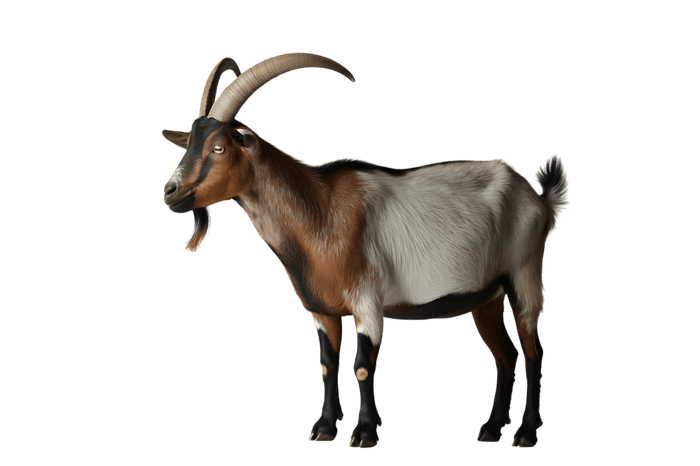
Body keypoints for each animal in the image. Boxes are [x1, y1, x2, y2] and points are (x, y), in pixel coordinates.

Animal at [160, 53, 570, 449]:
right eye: (189, 145)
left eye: (219, 147)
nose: (170, 193)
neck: (320, 212)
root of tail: (538, 201)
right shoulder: (322, 310)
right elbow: (327, 364)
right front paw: (324, 427)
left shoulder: (367, 303)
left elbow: (361, 366)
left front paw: (365, 433)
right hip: (486, 298)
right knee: (505, 355)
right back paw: (491, 428)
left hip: (524, 277)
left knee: (533, 352)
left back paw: (525, 433)